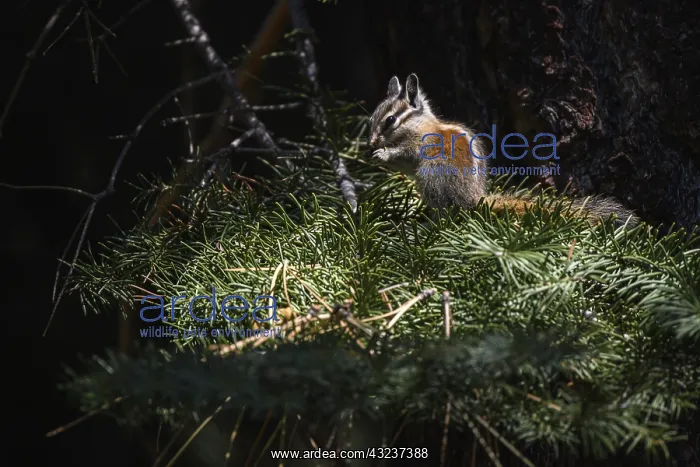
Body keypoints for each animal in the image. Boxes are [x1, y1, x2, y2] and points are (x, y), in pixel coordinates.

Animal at [369, 73, 639, 227]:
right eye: (372, 117)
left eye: (390, 120)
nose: (370, 143)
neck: (418, 123)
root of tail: (474, 199)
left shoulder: (419, 144)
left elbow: (405, 153)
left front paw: (383, 154)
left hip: (432, 178)